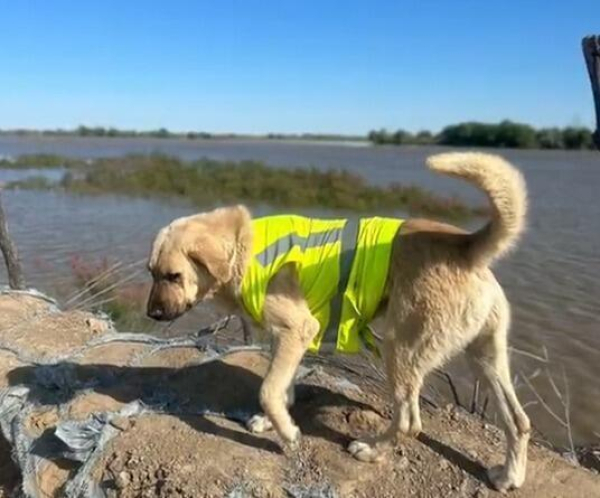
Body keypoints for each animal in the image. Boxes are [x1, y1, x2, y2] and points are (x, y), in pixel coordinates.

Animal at [145, 153, 528, 490]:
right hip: (485, 357)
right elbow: (281, 387)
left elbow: (268, 389)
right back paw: (509, 476)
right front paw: (275, 421)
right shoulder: (287, 338)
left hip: (401, 350)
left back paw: (370, 449)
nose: (152, 315)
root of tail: (467, 246)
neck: (243, 248)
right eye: (151, 273)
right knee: (519, 421)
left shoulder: (297, 331)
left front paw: (288, 433)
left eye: (173, 276)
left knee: (409, 422)